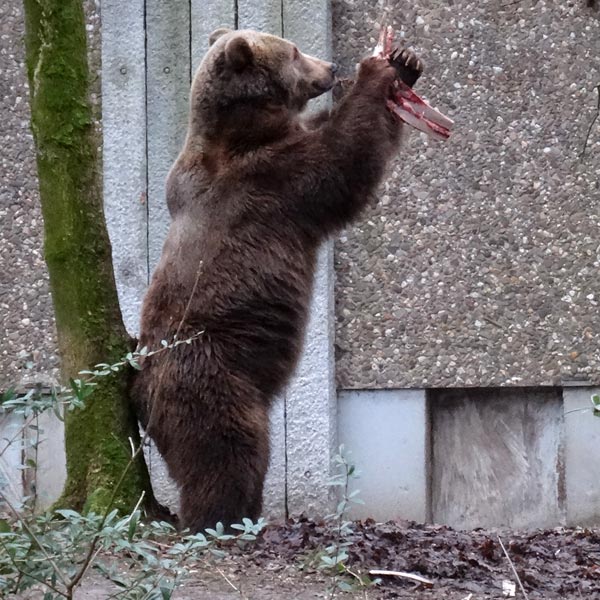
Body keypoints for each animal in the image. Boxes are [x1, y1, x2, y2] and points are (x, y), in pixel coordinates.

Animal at [132, 27, 422, 536]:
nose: (330, 67)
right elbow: (345, 156)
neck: (245, 129)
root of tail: (141, 390)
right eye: (294, 50)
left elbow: (331, 130)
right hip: (213, 373)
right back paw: (223, 520)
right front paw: (376, 73)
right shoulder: (272, 181)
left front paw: (405, 61)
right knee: (228, 448)